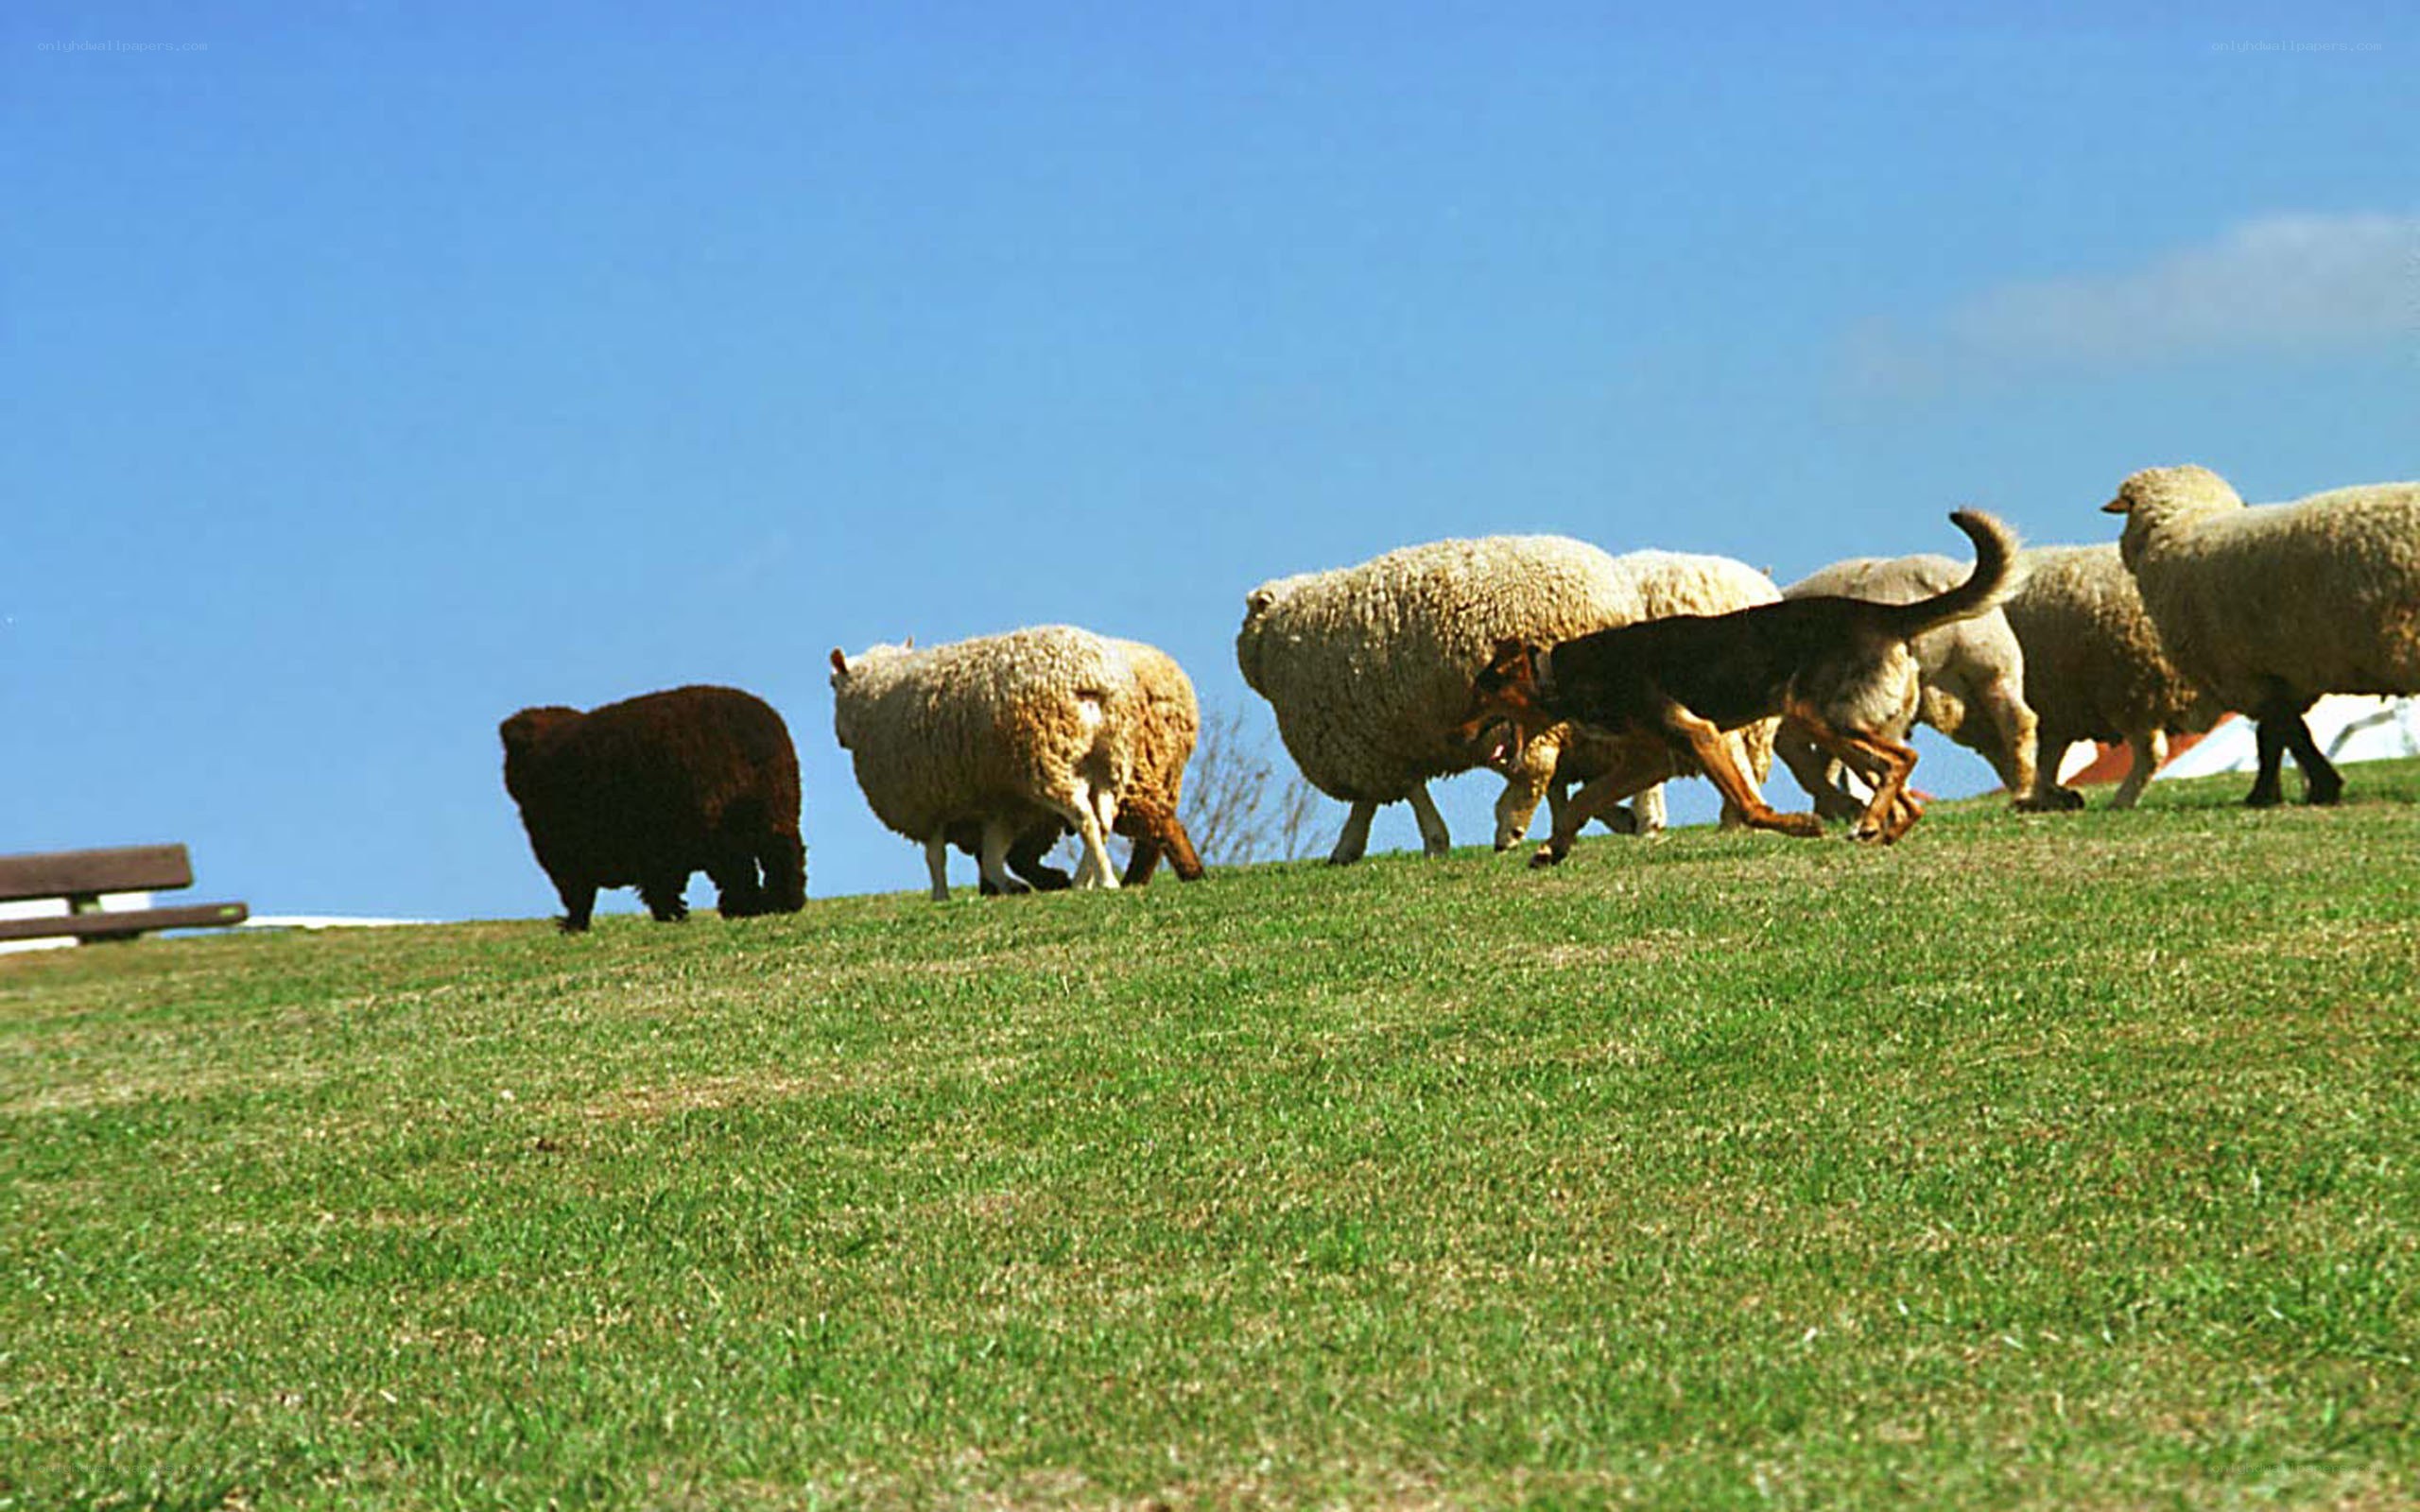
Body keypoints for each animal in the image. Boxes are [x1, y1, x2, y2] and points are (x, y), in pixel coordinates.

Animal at [829, 625, 1136, 899]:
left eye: (832, 683)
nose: (839, 738)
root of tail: (1092, 675)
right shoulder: (999, 805)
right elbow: (991, 857)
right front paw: (1012, 887)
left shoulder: (926, 806)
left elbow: (935, 858)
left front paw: (940, 897)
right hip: (1109, 764)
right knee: (1103, 821)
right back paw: (1083, 881)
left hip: (1049, 761)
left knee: (1085, 818)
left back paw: (1106, 881)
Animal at [1235, 536, 1779, 863]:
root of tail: (1614, 596)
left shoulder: (1364, 741)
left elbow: (1384, 798)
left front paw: (1366, 846)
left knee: (1534, 770)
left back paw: (1511, 830)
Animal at [1963, 543, 2224, 811]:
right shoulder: (2057, 710)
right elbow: (2048, 759)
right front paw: (2047, 796)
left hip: (2127, 687)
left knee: (2152, 751)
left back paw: (2122, 800)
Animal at [2104, 464, 2420, 806]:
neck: (2184, 528)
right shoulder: (2279, 672)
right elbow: (2280, 733)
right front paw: (2296, 790)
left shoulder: (2243, 673)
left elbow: (2280, 733)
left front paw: (2283, 791)